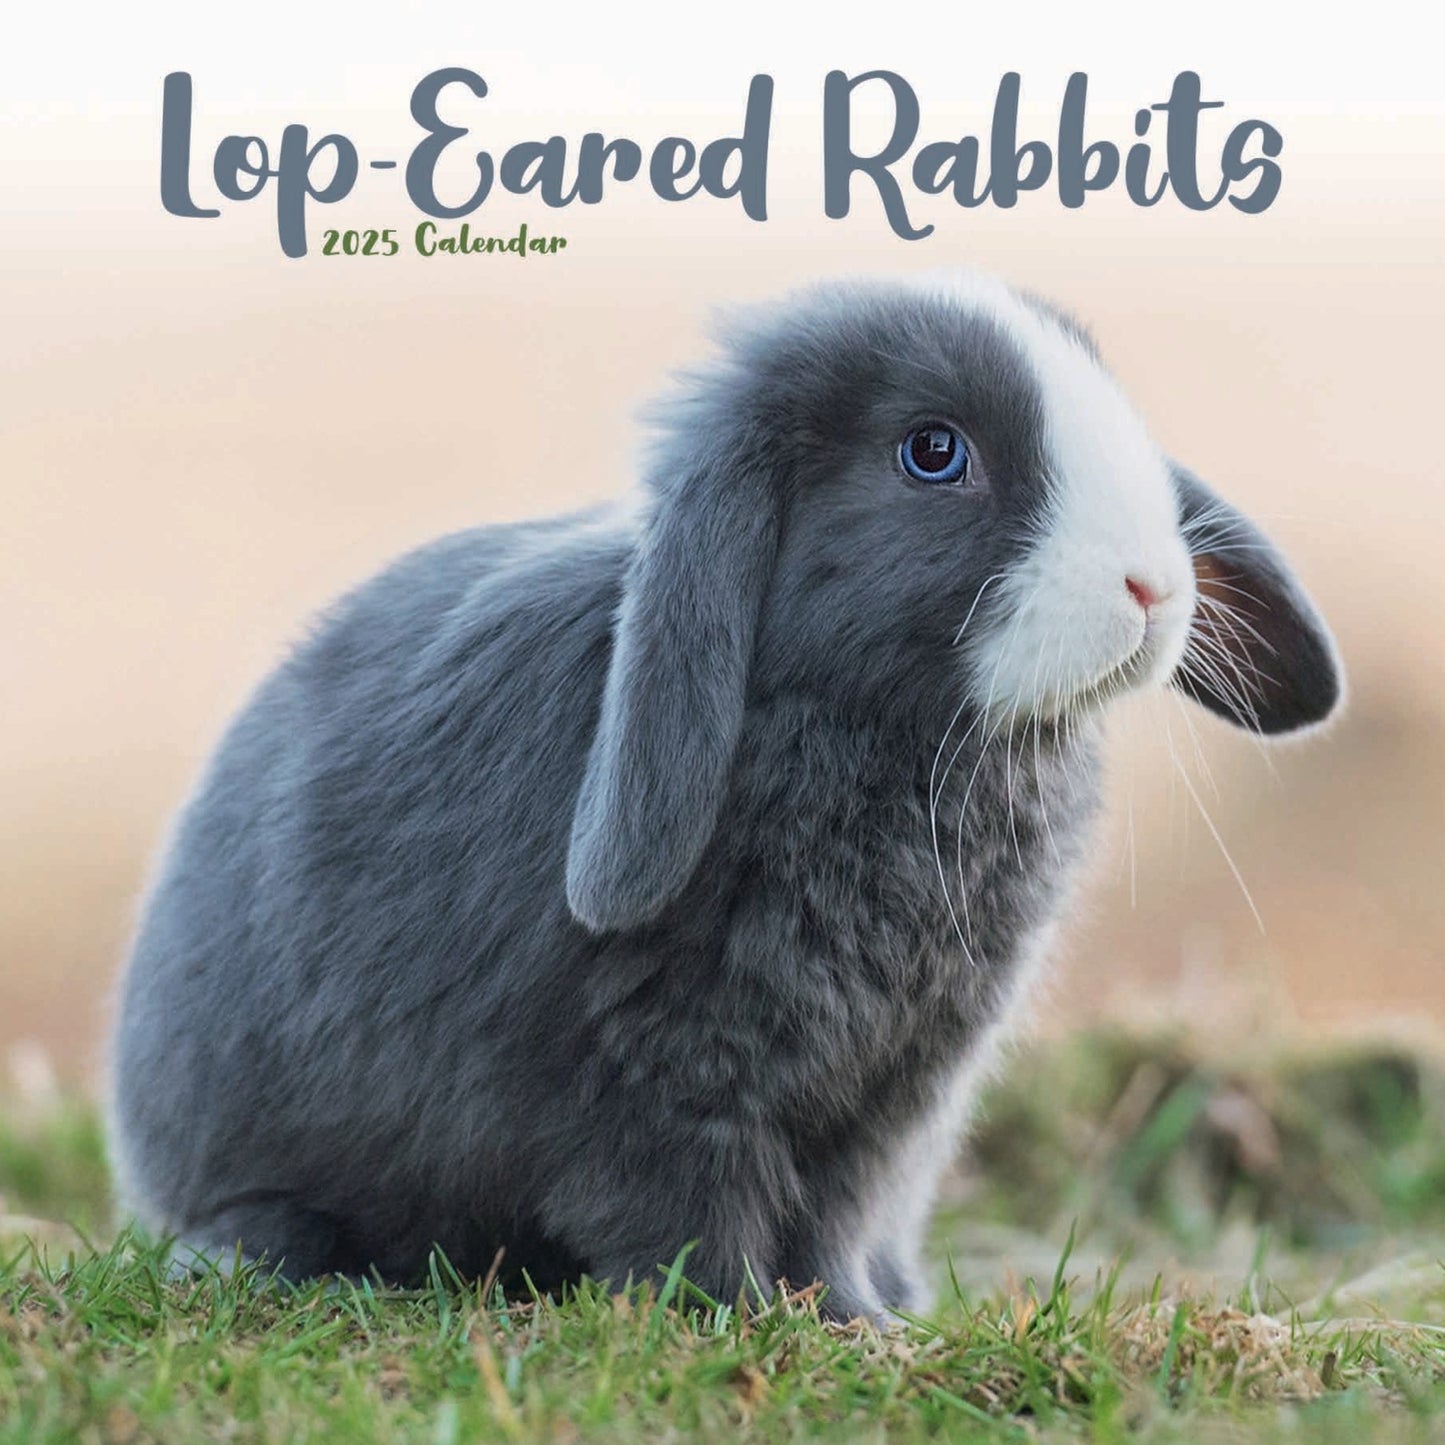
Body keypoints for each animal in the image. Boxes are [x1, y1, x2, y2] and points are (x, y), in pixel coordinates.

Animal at [108, 270, 1342, 1321]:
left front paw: (851, 1316)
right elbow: (687, 1207)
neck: (874, 733)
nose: (1154, 585)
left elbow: (834, 1212)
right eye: (932, 452)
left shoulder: (893, 1096)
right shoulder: (656, 1078)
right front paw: (747, 1318)